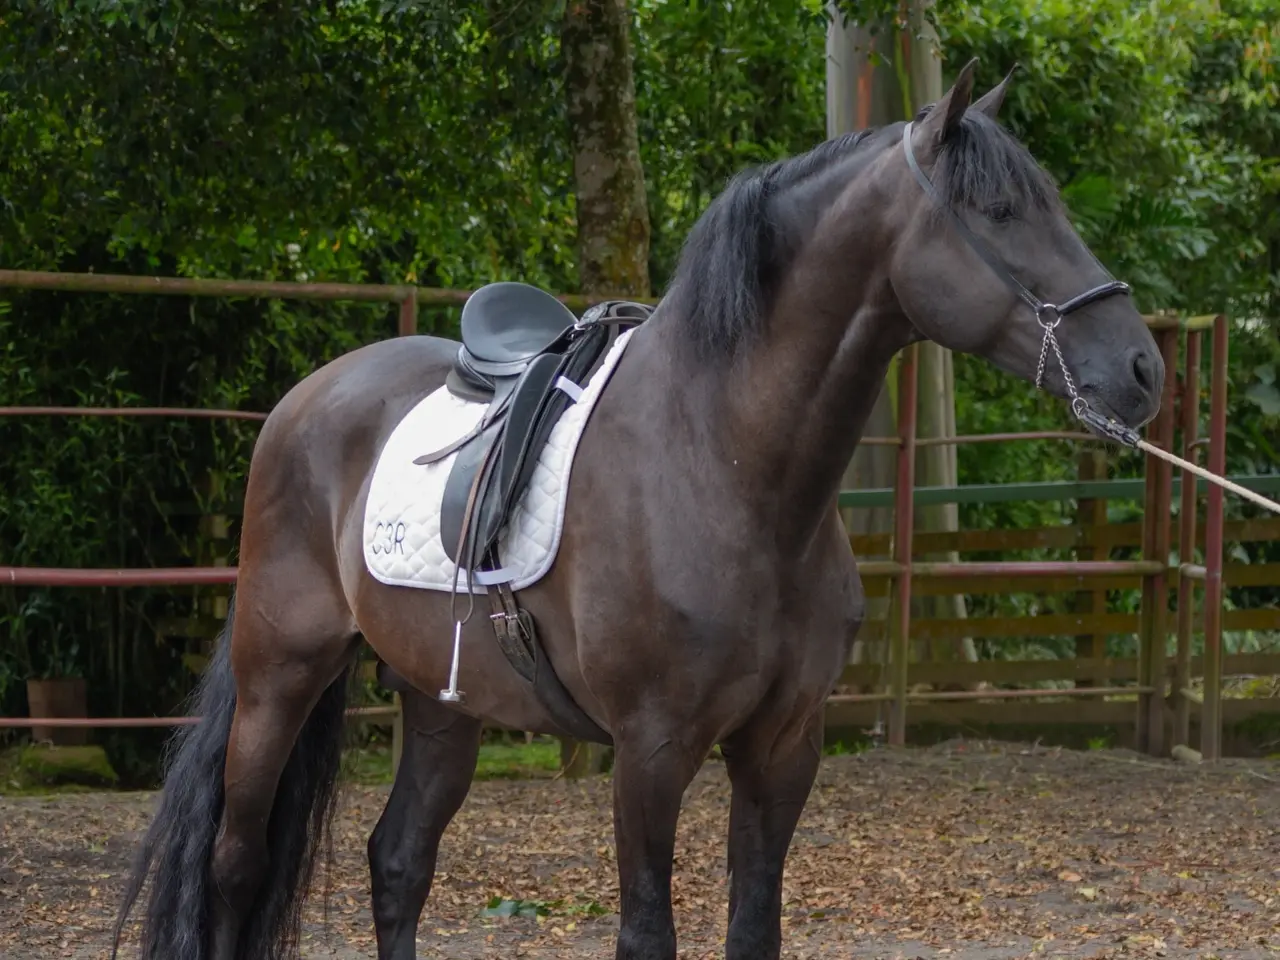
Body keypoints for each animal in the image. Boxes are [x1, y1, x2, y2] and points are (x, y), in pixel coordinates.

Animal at [112, 59, 1163, 960]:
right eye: (999, 211)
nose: (1144, 369)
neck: (728, 471)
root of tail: (304, 402)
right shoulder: (651, 753)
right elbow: (646, 932)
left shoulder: (783, 748)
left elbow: (754, 927)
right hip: (280, 674)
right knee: (235, 866)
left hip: (441, 703)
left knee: (398, 862)